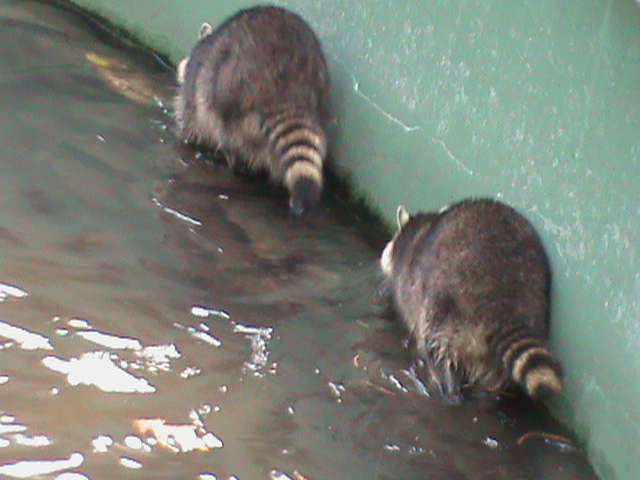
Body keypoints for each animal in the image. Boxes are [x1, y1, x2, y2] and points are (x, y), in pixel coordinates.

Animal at [174, 6, 330, 216]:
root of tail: (287, 91)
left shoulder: (194, 91)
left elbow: (189, 121)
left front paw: (188, 137)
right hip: (320, 102)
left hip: (229, 104)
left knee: (229, 138)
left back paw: (232, 162)